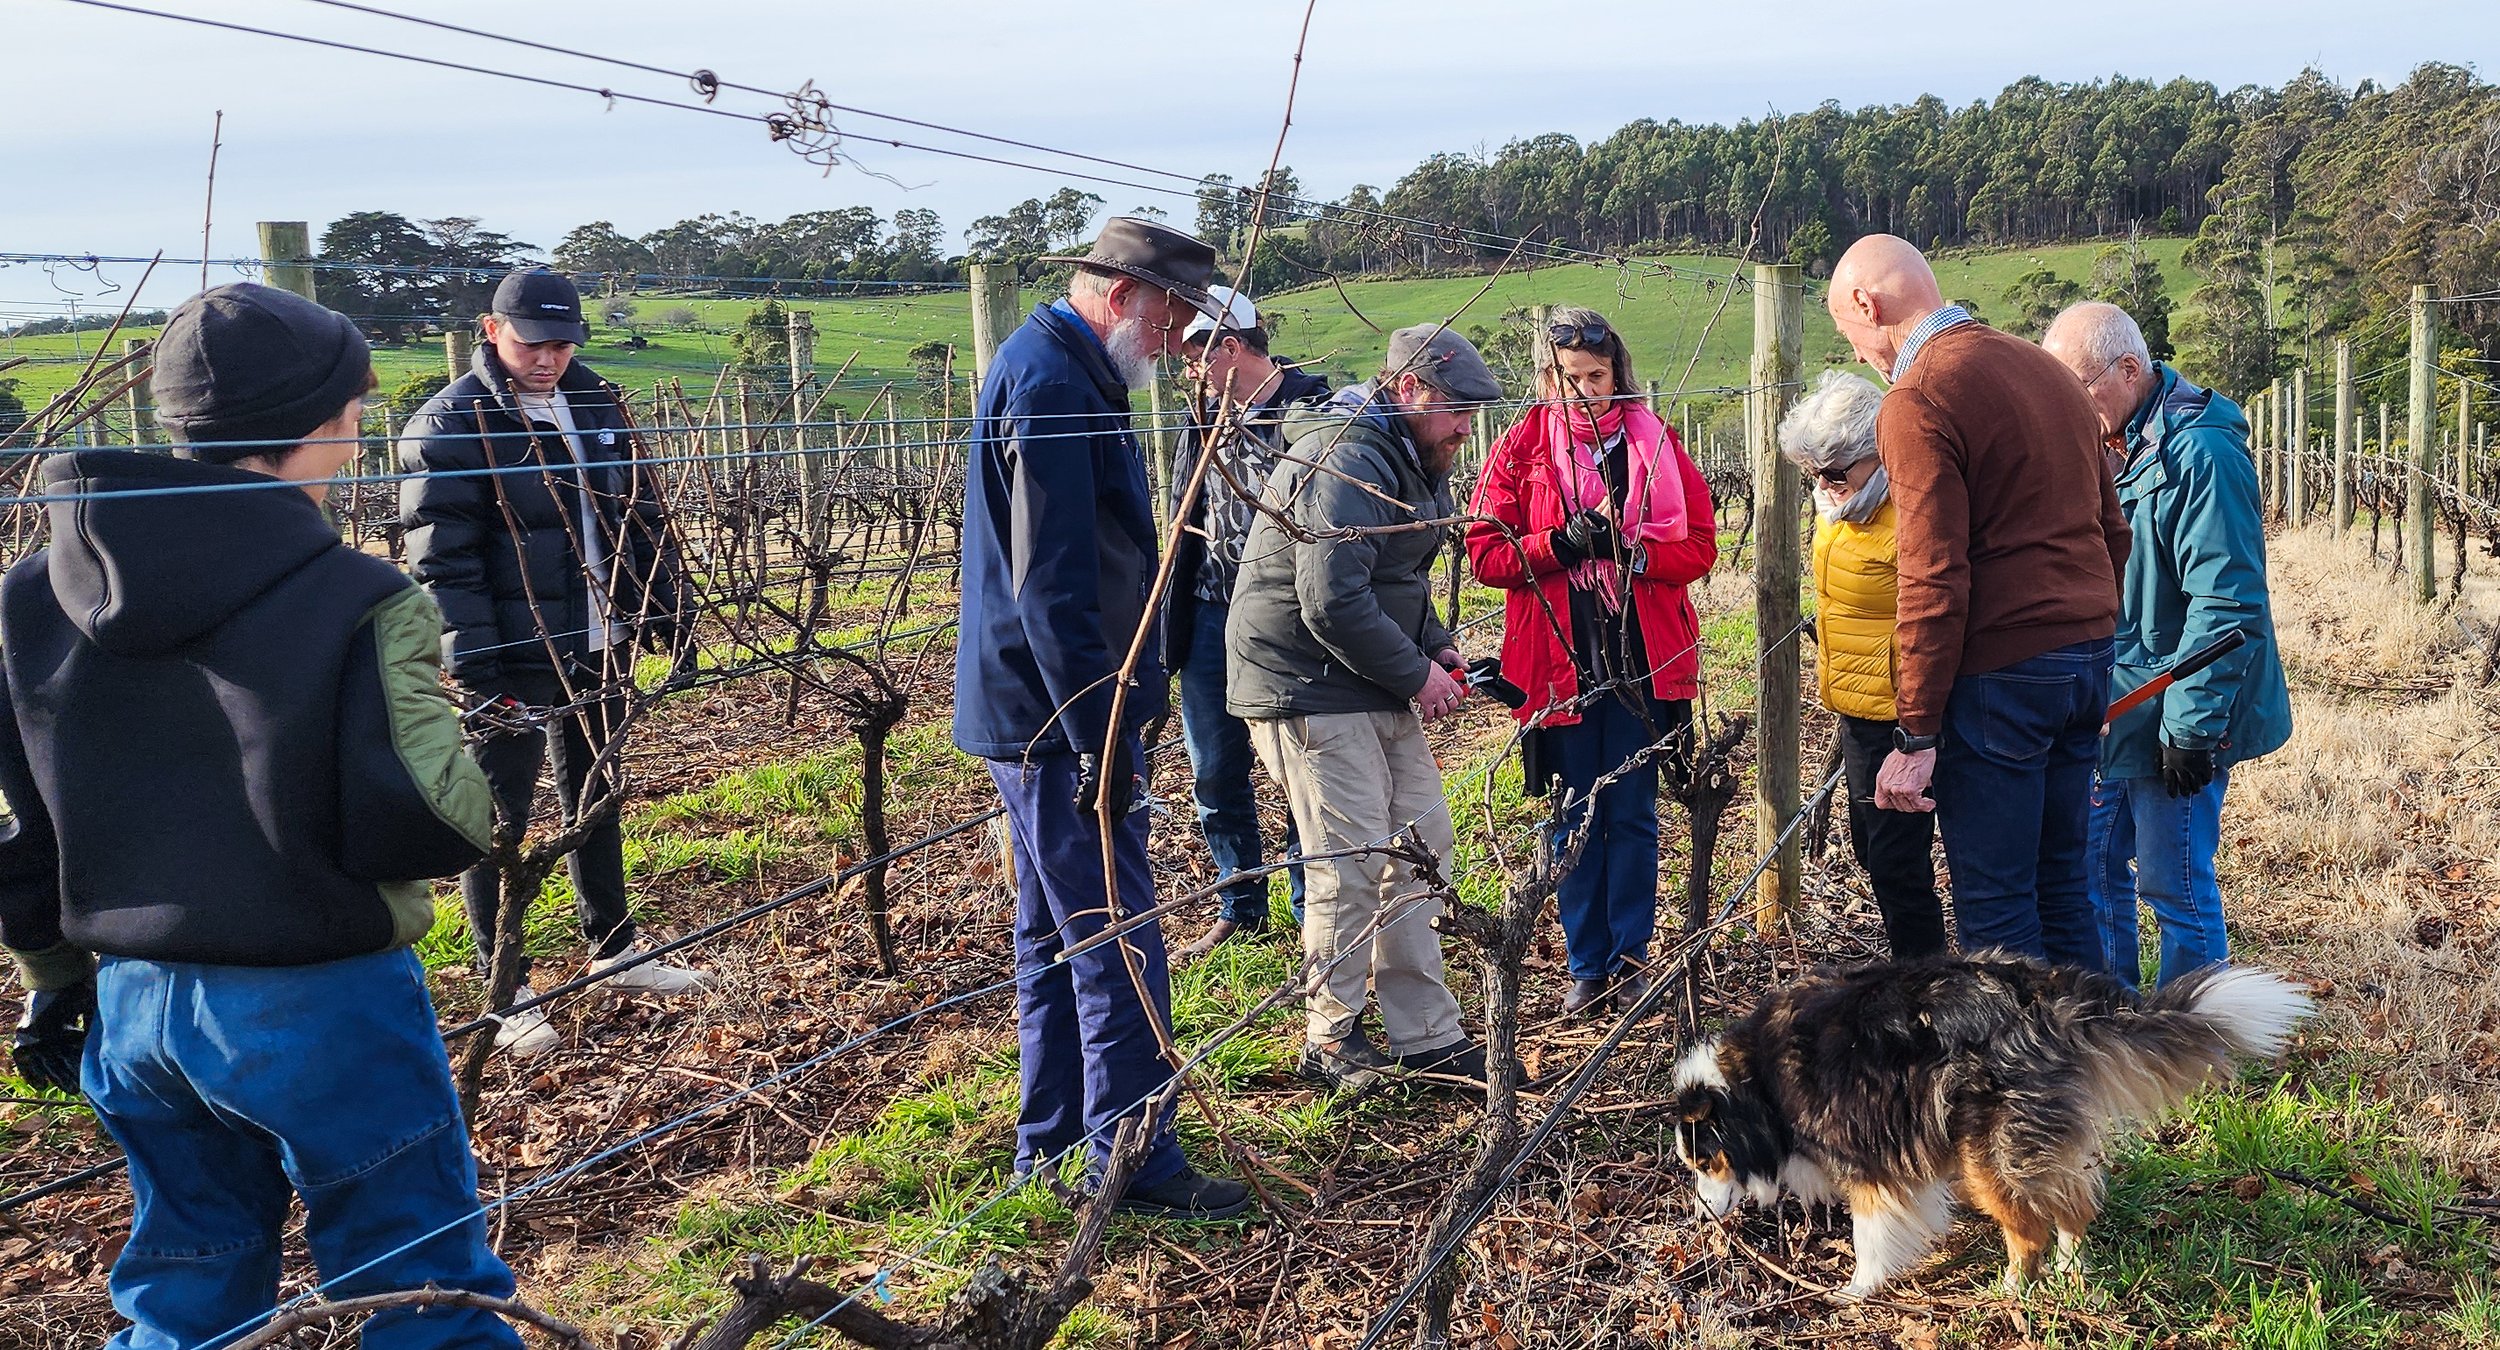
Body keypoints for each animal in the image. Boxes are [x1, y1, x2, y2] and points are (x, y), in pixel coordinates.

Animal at [1667, 952, 2313, 1299]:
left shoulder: (1870, 1160)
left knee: (2029, 1227)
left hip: (1987, 1150)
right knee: (2073, 1207)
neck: (1756, 1083)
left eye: (1704, 1161)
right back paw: (2070, 1274)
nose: (1701, 1219)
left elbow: (1872, 1235)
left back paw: (2011, 1289)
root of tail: (2051, 1000)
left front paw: (1858, 1289)